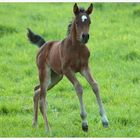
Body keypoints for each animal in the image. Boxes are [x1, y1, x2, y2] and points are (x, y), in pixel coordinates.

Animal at [27, 3, 108, 132]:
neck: (77, 48)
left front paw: (105, 120)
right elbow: (79, 87)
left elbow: (95, 85)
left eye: (89, 22)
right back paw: (48, 129)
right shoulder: (67, 70)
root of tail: (44, 45)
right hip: (45, 73)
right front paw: (84, 123)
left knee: (36, 91)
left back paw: (34, 124)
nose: (85, 36)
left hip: (55, 77)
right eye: (77, 22)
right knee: (42, 98)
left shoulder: (84, 68)